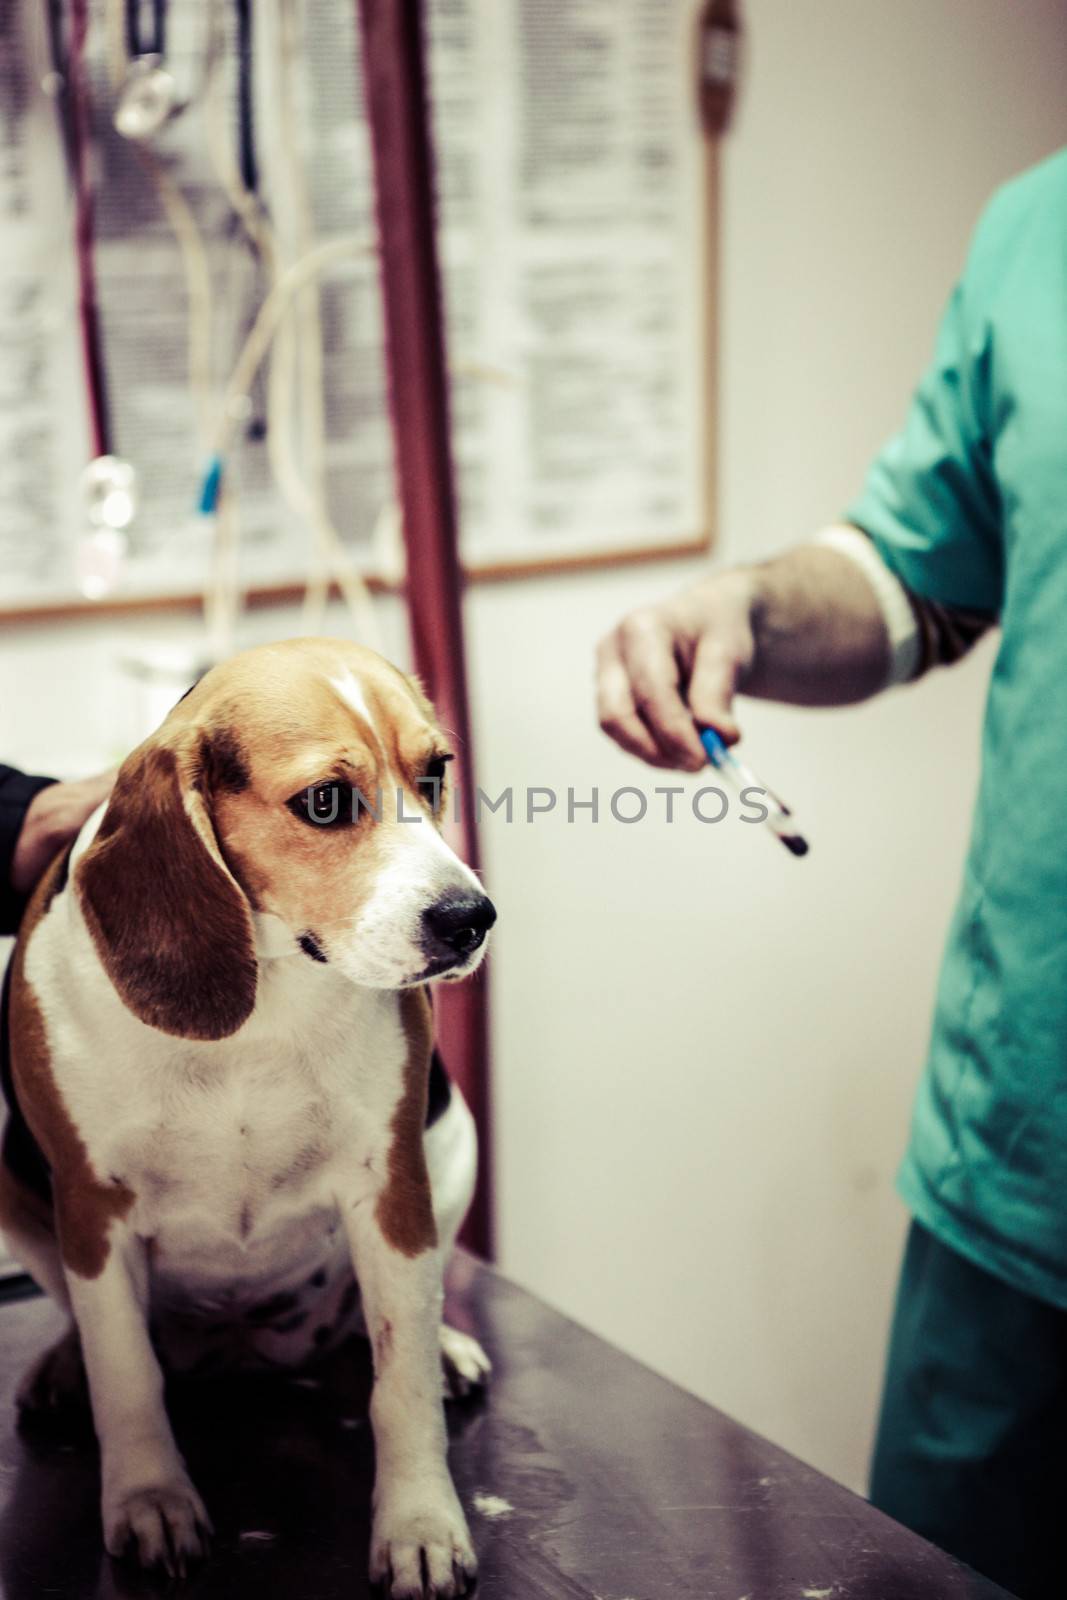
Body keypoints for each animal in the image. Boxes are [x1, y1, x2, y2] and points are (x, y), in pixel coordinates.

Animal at [0, 640, 499, 1600]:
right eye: (325, 802)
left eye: (434, 774)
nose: (471, 919)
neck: (265, 993)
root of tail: (244, 1350)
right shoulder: (90, 1205)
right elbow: (126, 1372)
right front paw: (151, 1503)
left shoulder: (392, 1188)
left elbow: (400, 1385)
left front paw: (419, 1526)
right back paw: (62, 1370)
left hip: (452, 1148)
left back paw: (449, 1345)